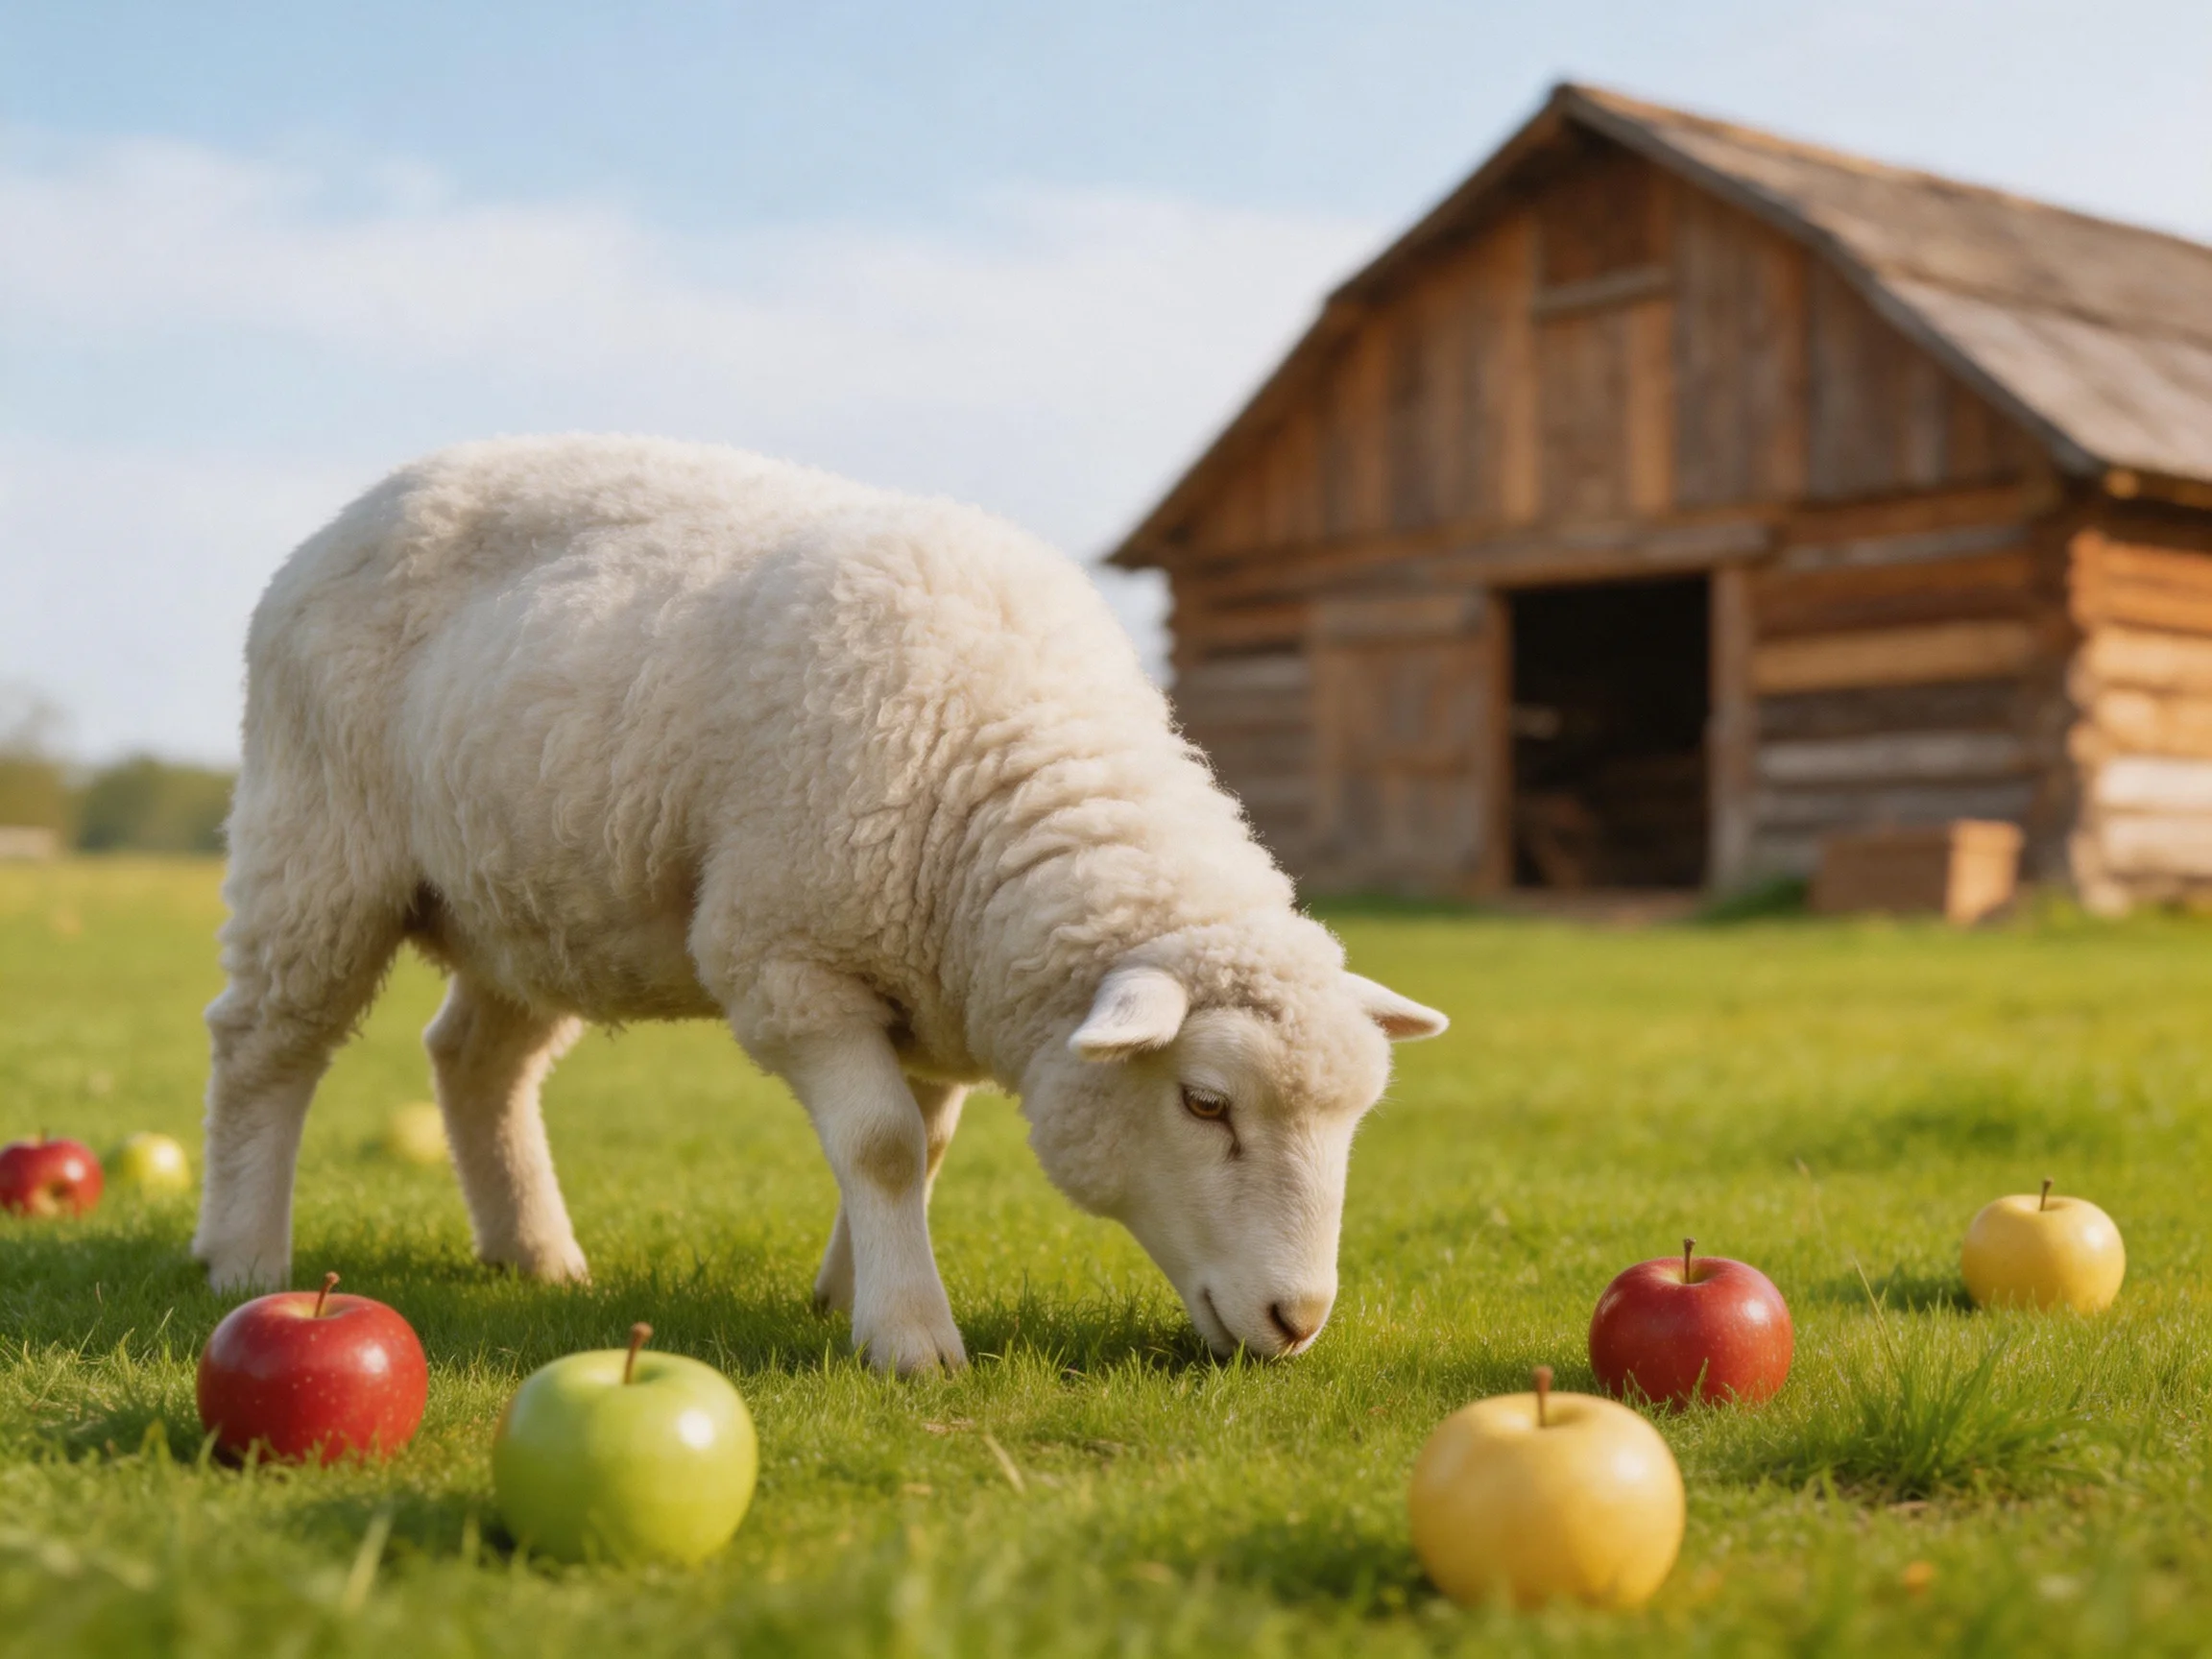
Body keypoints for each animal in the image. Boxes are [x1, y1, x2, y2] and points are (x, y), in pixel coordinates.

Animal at [192, 435, 1447, 1373]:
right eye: (1203, 1103)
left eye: (1354, 1121)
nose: (1299, 1321)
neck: (1003, 764)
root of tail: (361, 504)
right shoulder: (788, 959)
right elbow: (884, 1144)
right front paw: (910, 1335)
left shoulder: (932, 985)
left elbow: (923, 1145)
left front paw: (852, 1290)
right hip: (318, 841)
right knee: (265, 1043)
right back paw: (242, 1254)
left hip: (527, 898)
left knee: (475, 1061)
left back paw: (534, 1252)